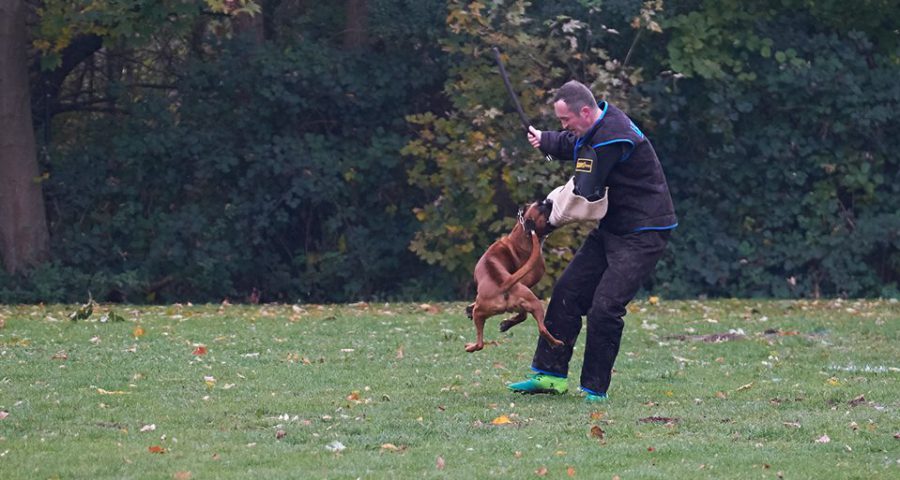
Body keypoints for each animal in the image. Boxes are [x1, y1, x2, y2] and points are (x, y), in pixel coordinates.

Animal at [464, 200, 564, 352]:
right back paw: (556, 343)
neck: (522, 235)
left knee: (481, 343)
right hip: (535, 304)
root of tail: (504, 283)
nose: (550, 201)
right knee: (540, 327)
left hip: (481, 313)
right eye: (540, 205)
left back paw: (472, 346)